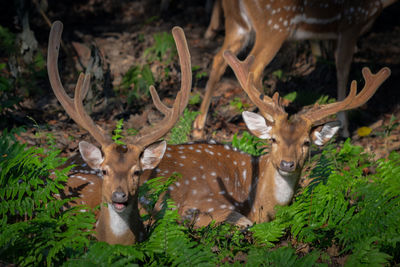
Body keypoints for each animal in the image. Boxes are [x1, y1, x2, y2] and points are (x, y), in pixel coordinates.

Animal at [193, 0, 396, 138]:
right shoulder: (351, 23)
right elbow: (343, 67)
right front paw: (345, 129)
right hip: (274, 26)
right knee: (255, 67)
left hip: (237, 25)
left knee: (219, 58)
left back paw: (198, 127)